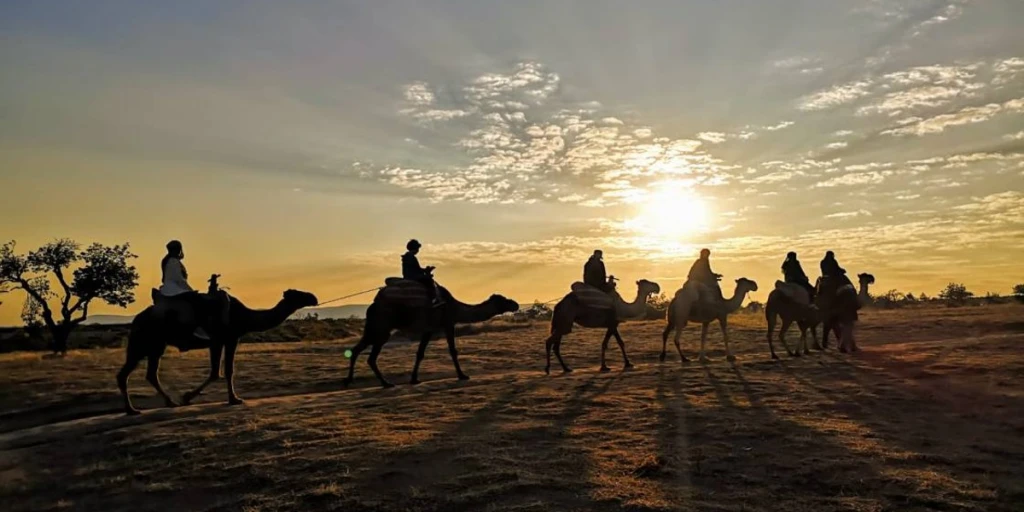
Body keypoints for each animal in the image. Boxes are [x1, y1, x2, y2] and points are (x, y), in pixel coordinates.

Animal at [117, 289, 319, 415]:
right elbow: (223, 371)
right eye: (297, 293)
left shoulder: (222, 341)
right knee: (125, 374)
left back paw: (167, 402)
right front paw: (233, 399)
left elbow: (218, 371)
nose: (314, 297)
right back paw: (132, 410)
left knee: (150, 373)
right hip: (143, 343)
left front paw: (188, 397)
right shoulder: (226, 339)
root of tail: (136, 320)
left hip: (156, 346)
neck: (245, 316)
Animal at [342, 284, 519, 388]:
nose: (515, 304)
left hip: (373, 329)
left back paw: (350, 380)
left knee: (357, 350)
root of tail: (371, 307)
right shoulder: (447, 324)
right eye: (503, 300)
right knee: (369, 356)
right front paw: (462, 375)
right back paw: (386, 383)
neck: (454, 307)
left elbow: (420, 353)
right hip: (381, 328)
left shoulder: (429, 329)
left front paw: (414, 379)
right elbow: (452, 351)